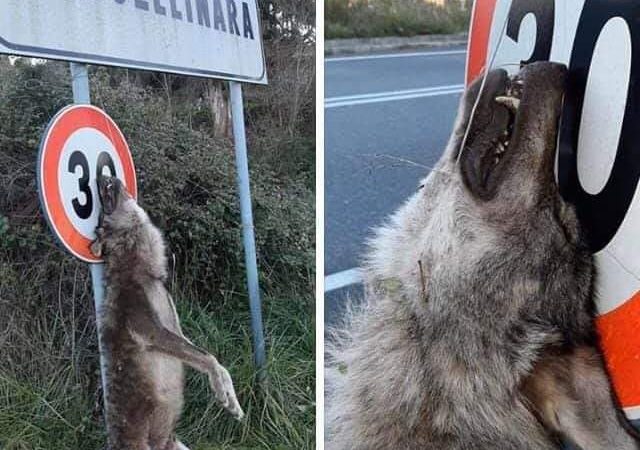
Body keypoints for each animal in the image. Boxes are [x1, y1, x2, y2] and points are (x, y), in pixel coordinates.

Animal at [92, 175, 245, 450]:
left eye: (105, 193)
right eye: (102, 216)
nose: (102, 176)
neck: (144, 272)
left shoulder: (176, 331)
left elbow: (213, 360)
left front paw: (233, 403)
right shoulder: (153, 333)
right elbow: (210, 360)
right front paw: (222, 394)